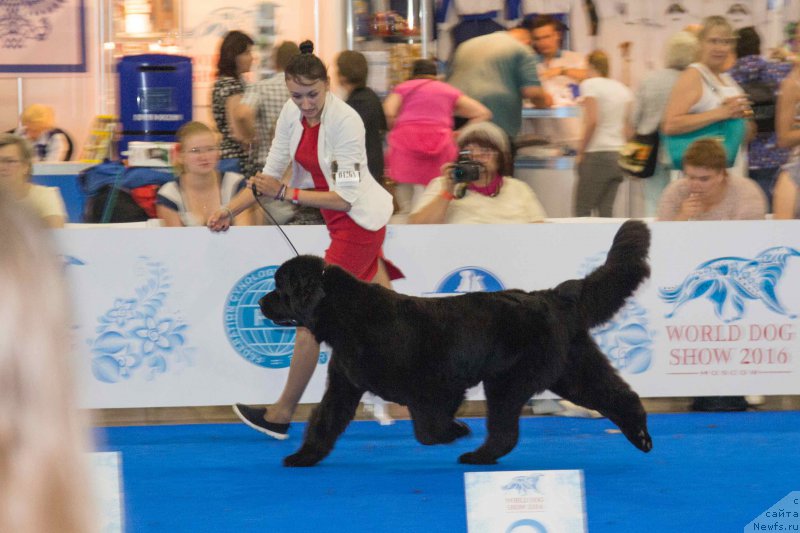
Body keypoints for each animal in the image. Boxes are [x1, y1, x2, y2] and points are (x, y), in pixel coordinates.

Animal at [260, 218, 652, 464]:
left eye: (280, 288)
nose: (261, 302)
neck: (345, 313)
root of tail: (552, 297)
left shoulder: (433, 387)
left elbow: (428, 430)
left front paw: (457, 430)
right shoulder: (345, 386)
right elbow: (324, 422)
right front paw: (303, 457)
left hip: (508, 381)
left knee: (505, 430)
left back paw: (478, 456)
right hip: (571, 371)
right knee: (619, 396)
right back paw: (641, 437)